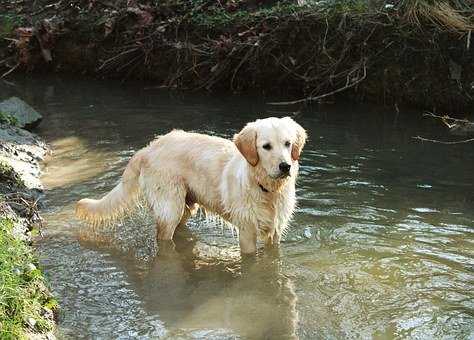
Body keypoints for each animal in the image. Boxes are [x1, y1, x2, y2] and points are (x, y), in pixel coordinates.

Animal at [76, 117, 308, 252]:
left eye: (288, 144)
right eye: (266, 146)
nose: (285, 166)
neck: (267, 189)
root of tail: (148, 148)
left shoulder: (275, 232)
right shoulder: (247, 231)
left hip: (187, 206)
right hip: (170, 208)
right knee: (164, 237)